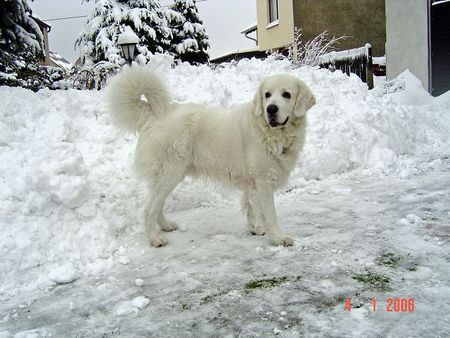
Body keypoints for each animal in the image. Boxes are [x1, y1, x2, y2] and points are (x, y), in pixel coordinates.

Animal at [107, 66, 314, 247]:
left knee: (156, 204)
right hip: (170, 173)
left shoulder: (252, 181)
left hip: (167, 176)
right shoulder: (264, 180)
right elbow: (270, 215)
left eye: (286, 95)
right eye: (267, 95)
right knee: (150, 208)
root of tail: (153, 112)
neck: (269, 132)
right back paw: (154, 239)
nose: (270, 109)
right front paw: (278, 238)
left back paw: (165, 226)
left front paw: (255, 228)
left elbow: (250, 206)